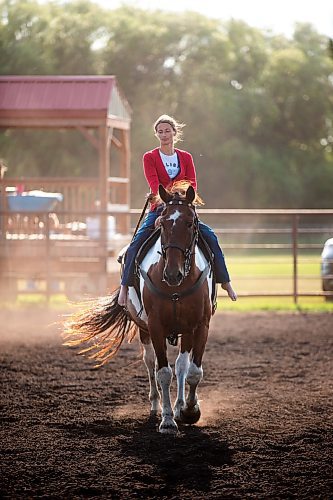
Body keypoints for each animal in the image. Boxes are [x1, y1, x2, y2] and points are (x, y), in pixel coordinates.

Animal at [63, 183, 214, 434]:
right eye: (162, 223)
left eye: (190, 223)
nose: (172, 273)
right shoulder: (155, 326)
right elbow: (163, 372)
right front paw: (167, 420)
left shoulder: (200, 325)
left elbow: (192, 371)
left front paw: (189, 410)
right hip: (144, 329)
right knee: (150, 362)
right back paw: (155, 405)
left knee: (181, 365)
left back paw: (179, 405)